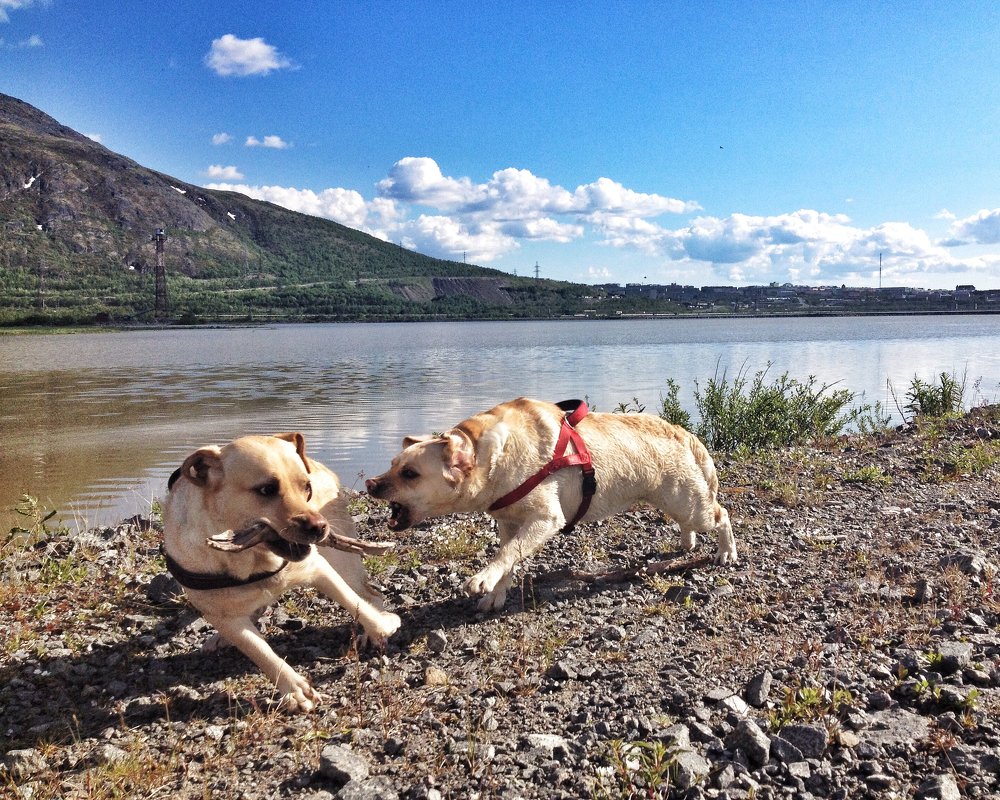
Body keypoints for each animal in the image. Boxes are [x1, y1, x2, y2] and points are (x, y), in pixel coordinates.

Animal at [162, 432, 400, 712]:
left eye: (306, 488)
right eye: (266, 490)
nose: (320, 527)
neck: (252, 559)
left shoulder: (319, 568)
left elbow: (355, 603)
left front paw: (381, 626)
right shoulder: (221, 616)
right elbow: (260, 651)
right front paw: (295, 689)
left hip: (344, 562)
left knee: (369, 594)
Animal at [368, 398, 736, 612]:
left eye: (410, 473)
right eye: (392, 463)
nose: (371, 484)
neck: (492, 458)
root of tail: (682, 432)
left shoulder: (545, 519)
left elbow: (505, 554)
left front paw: (482, 579)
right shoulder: (509, 523)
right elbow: (509, 558)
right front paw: (495, 595)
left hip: (690, 503)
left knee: (723, 514)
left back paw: (726, 552)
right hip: (678, 501)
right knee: (693, 521)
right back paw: (687, 542)